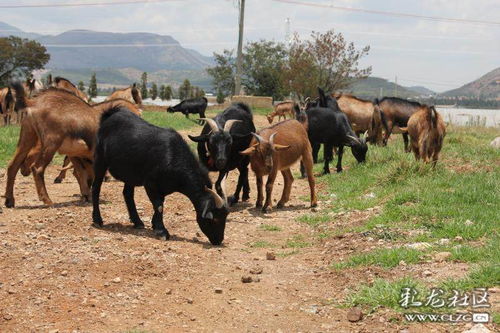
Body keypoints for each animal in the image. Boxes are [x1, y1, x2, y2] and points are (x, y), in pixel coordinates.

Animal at [4, 85, 142, 208]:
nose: (24, 171)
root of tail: (33, 102)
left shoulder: (77, 154)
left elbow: (81, 173)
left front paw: (86, 195)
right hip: (51, 142)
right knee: (37, 168)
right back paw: (47, 200)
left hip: (27, 136)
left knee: (12, 165)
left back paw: (9, 200)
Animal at [92, 105, 229, 244]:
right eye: (214, 219)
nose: (218, 240)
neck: (173, 156)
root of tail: (109, 115)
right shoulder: (150, 183)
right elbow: (159, 206)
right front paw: (162, 232)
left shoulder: (163, 187)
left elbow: (160, 204)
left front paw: (155, 225)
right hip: (100, 160)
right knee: (96, 188)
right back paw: (97, 220)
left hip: (130, 172)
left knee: (127, 193)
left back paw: (137, 222)